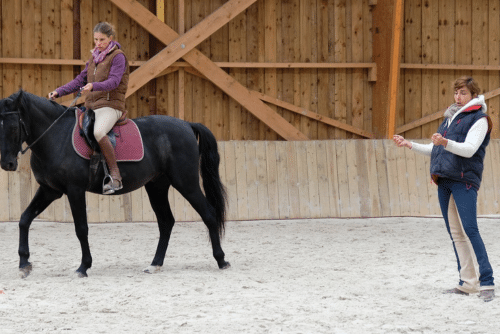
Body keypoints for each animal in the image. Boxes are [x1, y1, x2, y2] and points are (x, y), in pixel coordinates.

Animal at [0, 90, 230, 278]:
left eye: (12, 127)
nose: (7, 164)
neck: (56, 136)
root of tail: (187, 125)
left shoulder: (74, 191)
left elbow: (81, 228)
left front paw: (84, 266)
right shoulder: (49, 190)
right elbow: (24, 219)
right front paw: (24, 264)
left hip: (186, 183)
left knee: (208, 214)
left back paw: (221, 260)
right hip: (156, 186)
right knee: (166, 222)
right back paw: (155, 264)